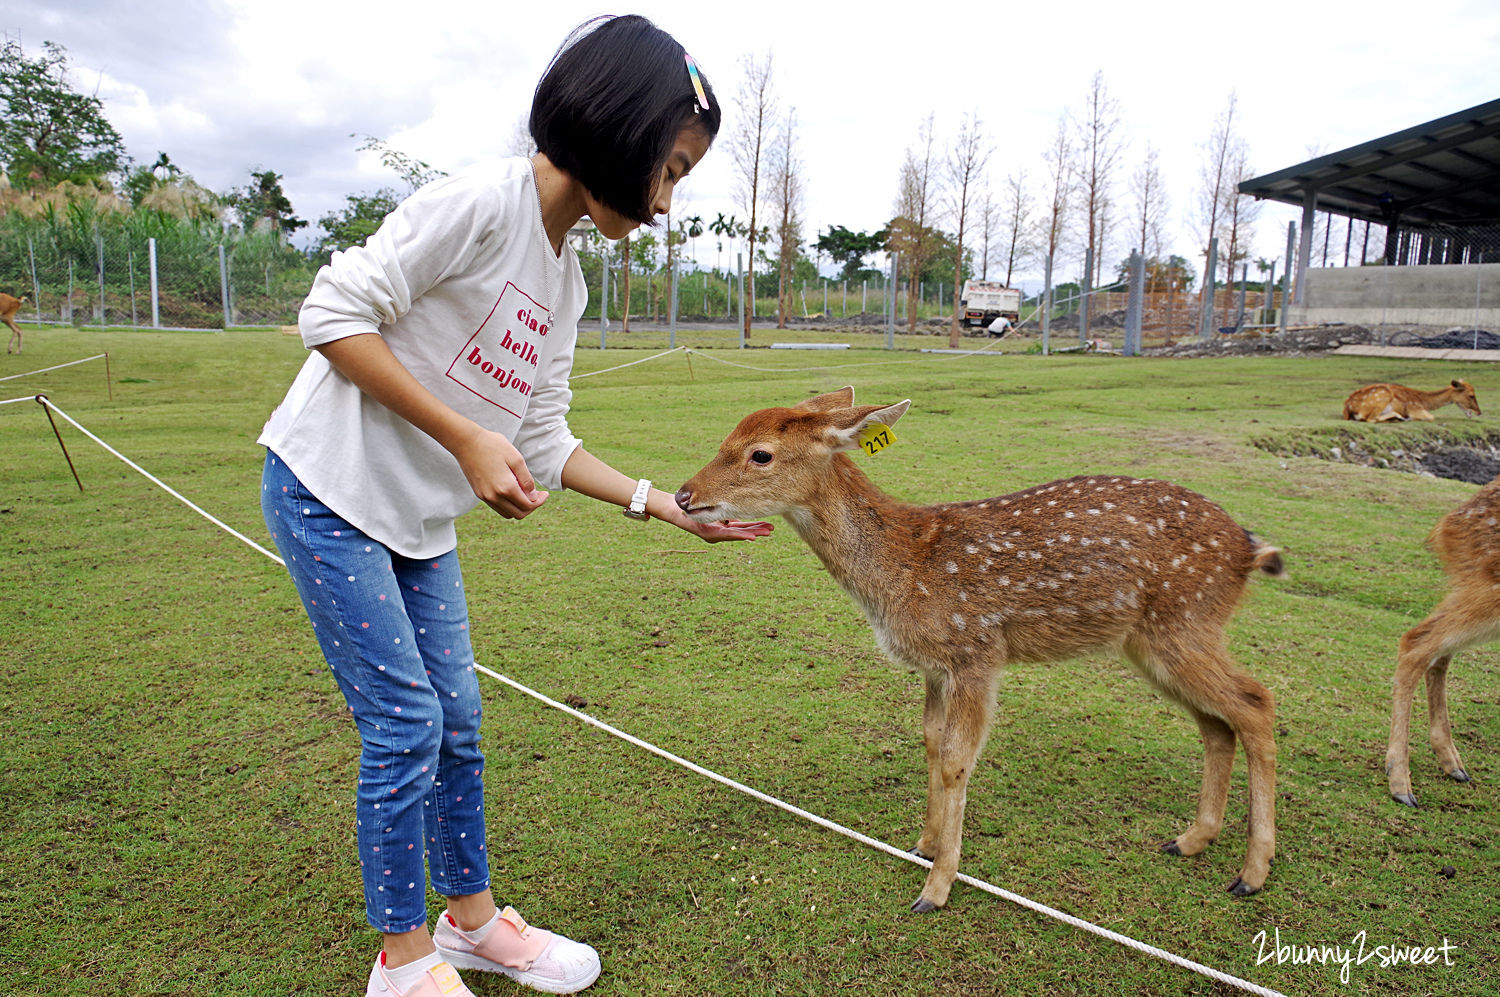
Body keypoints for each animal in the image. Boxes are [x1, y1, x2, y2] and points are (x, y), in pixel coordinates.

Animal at [675, 386, 1284, 911]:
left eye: (760, 454)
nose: (684, 495)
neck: (903, 572)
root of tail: (1248, 549)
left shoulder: (977, 652)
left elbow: (956, 760)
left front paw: (936, 887)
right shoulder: (935, 666)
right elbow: (930, 742)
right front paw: (922, 845)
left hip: (1185, 621)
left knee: (1255, 702)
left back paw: (1251, 873)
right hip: (1154, 643)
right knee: (1218, 722)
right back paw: (1191, 840)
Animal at [1380, 473, 1500, 809]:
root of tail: (1448, 522)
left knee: (1437, 649)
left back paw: (1453, 765)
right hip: (1489, 582)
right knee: (1416, 642)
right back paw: (1401, 784)